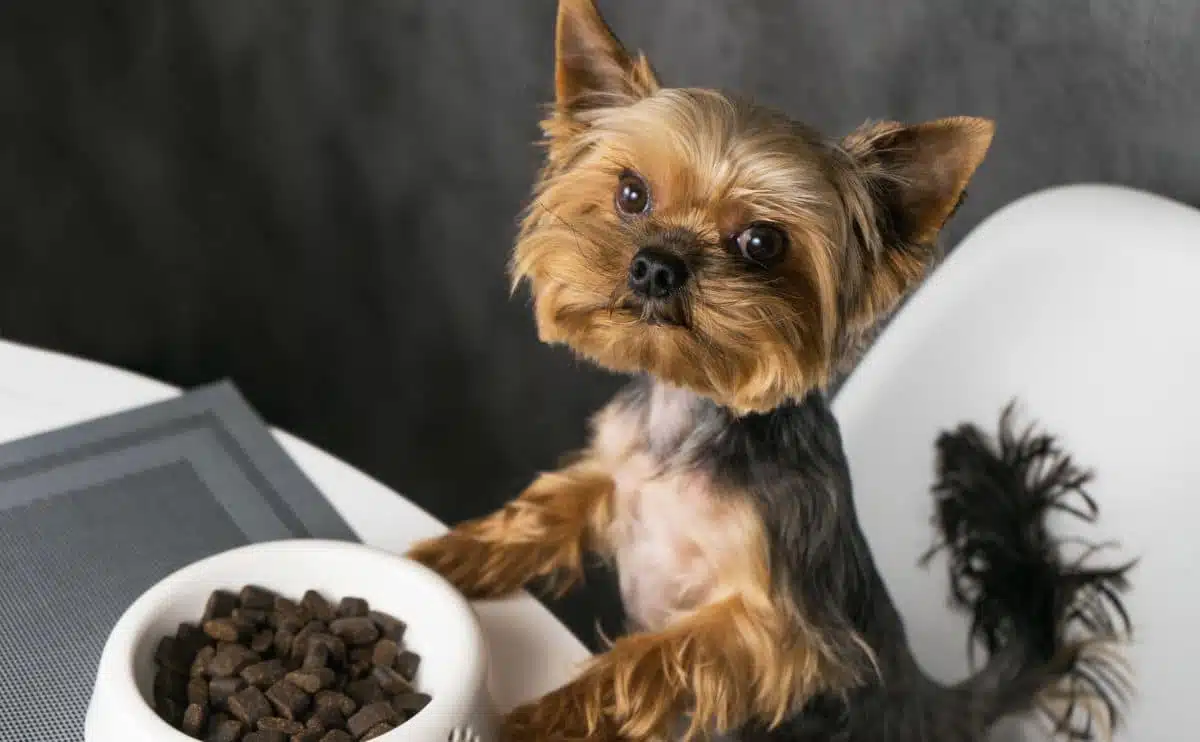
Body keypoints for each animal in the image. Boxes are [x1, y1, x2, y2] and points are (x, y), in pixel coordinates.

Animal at [408, 1, 1128, 739]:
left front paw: (538, 718)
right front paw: (443, 558)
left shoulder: (785, 633)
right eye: (631, 195)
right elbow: (550, 504)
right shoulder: (617, 467)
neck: (691, 417)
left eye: (761, 242)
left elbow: (652, 657)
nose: (656, 266)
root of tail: (935, 707)